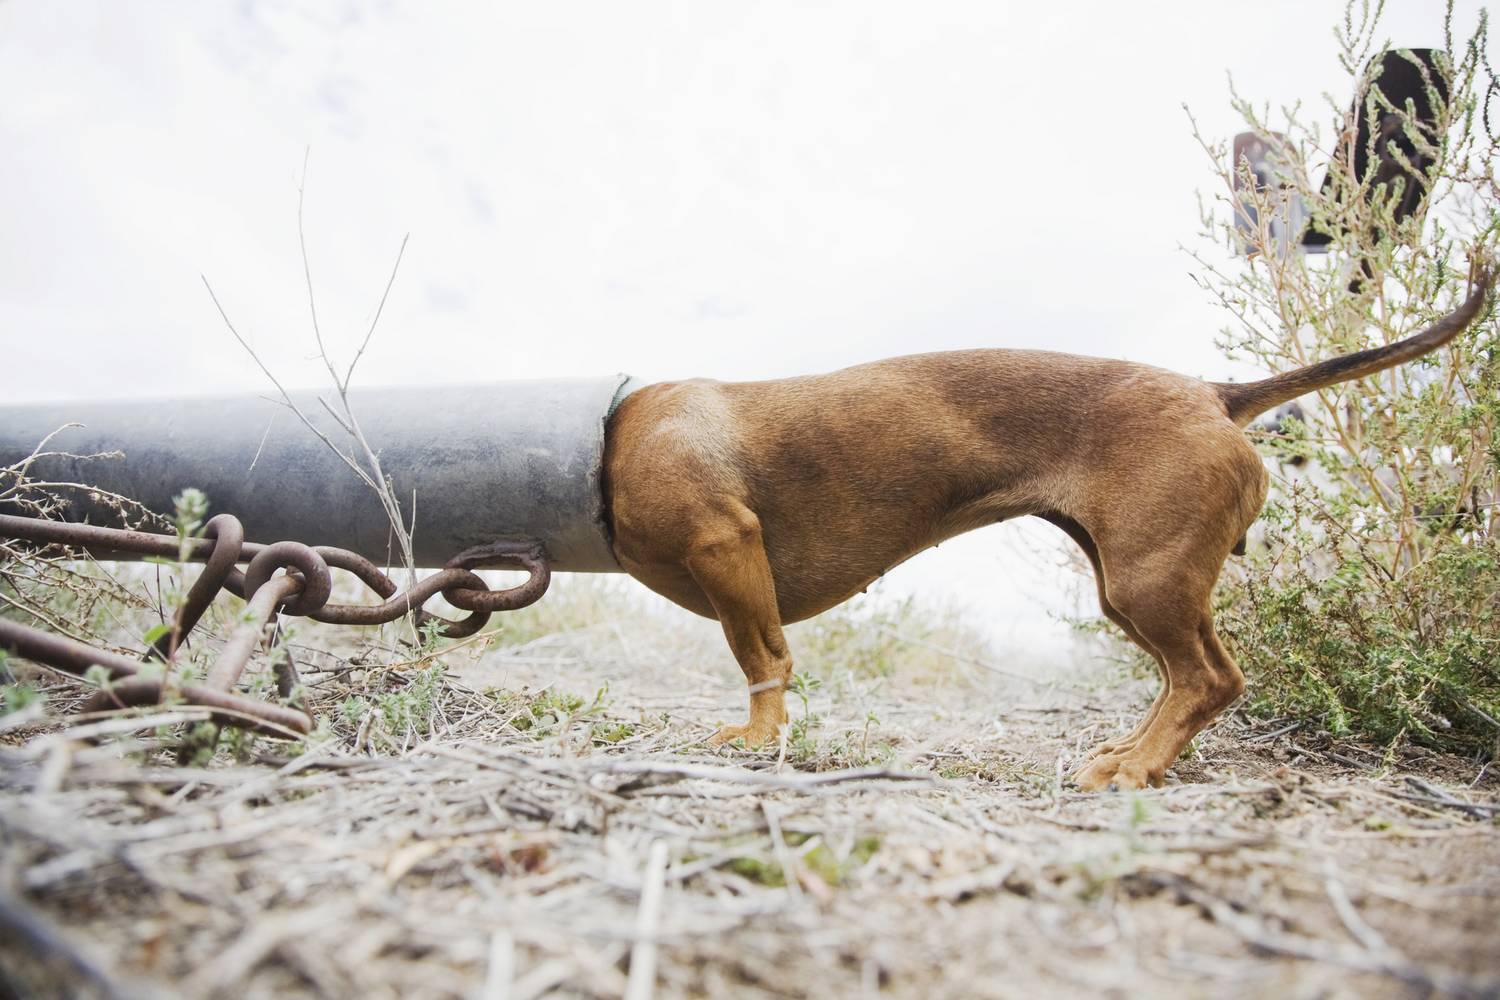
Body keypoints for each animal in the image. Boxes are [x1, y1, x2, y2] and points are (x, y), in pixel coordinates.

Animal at [597, 271, 1488, 791]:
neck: (612, 428)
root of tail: (1213, 393)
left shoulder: (725, 545)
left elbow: (763, 662)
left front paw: (755, 741)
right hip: (1136, 586)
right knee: (1188, 681)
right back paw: (1129, 753)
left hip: (1147, 581)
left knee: (1211, 681)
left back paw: (1135, 771)